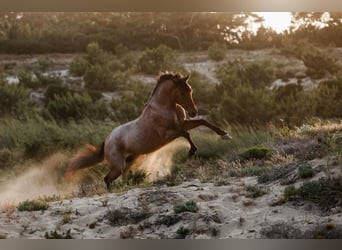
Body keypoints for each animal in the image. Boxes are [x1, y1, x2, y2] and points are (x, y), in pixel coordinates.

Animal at [66, 72, 232, 188]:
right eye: (183, 92)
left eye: (190, 90)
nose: (193, 112)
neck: (164, 108)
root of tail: (107, 140)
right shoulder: (168, 134)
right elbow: (187, 133)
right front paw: (192, 150)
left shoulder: (182, 124)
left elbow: (203, 122)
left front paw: (225, 135)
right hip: (118, 165)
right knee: (107, 179)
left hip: (130, 161)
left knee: (121, 176)